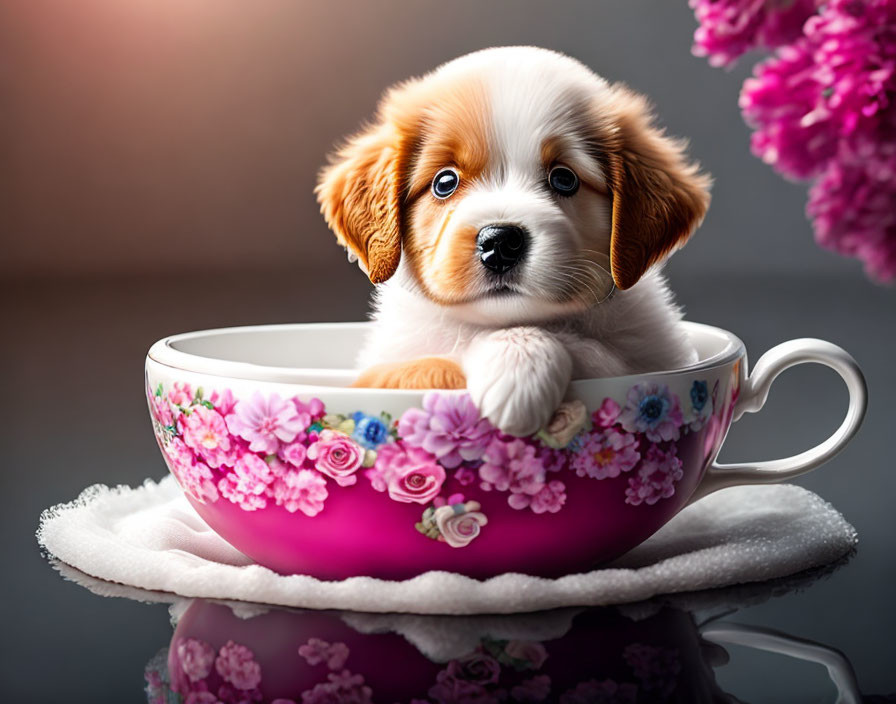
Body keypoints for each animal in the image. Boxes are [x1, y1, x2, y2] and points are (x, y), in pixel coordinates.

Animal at [318, 45, 712, 434]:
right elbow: (429, 366)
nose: (500, 242)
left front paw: (517, 368)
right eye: (445, 182)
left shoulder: (647, 358)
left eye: (564, 178)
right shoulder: (383, 368)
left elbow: (589, 347)